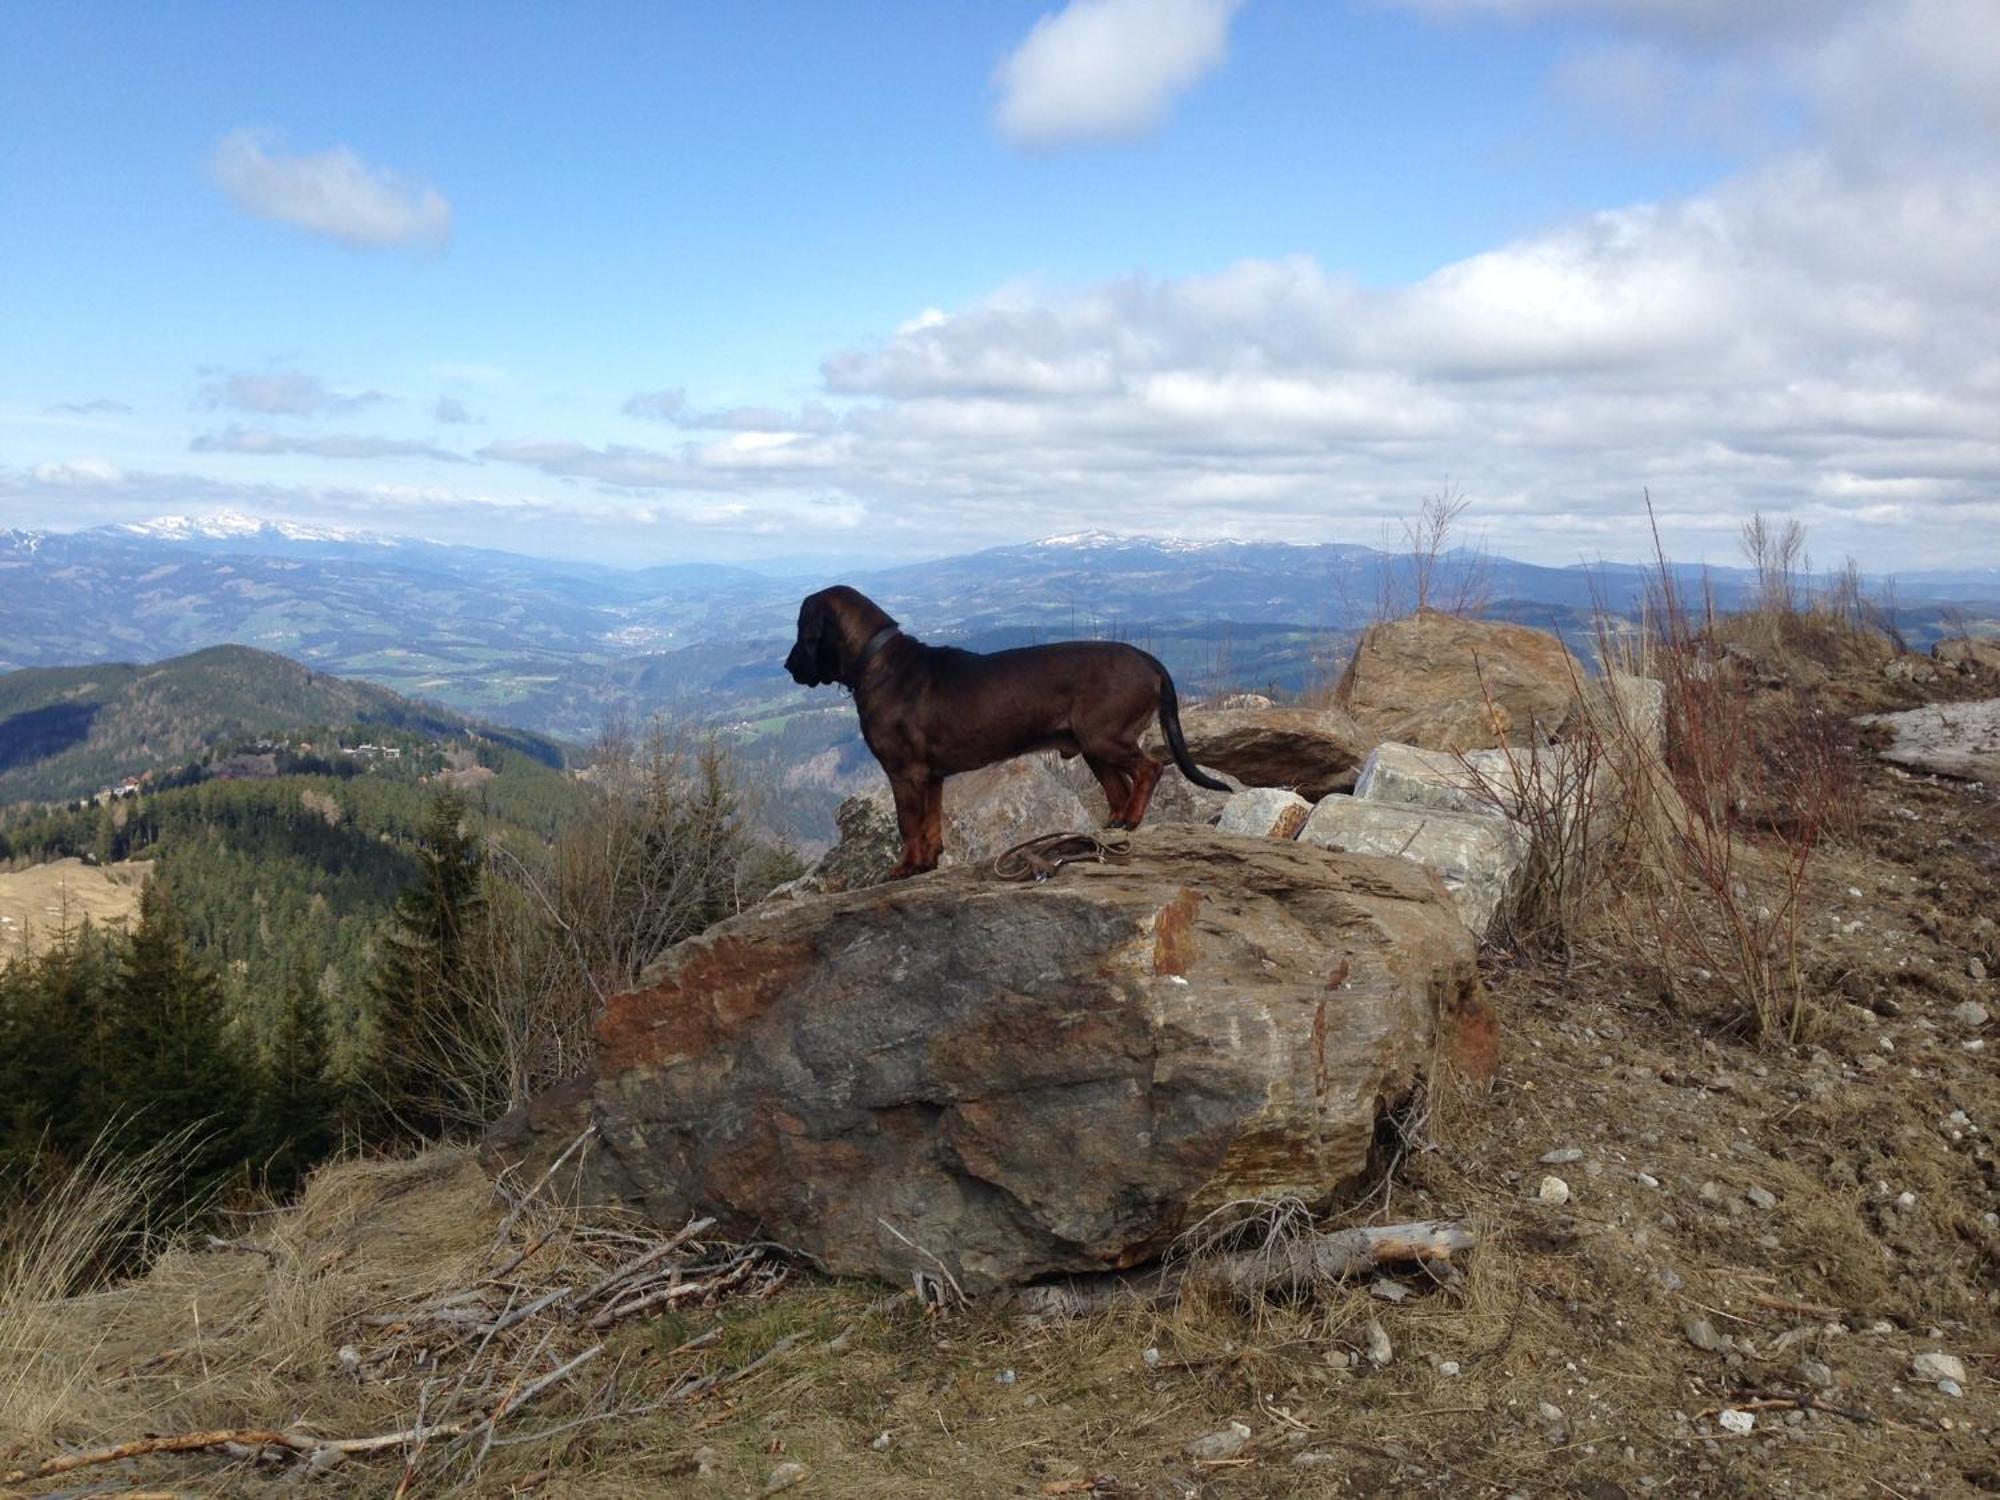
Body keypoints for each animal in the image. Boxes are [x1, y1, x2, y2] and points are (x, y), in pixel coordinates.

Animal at [784, 580, 1232, 876]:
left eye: (801, 629)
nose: (788, 666)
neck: (877, 661)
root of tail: (1151, 663)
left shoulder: (904, 773)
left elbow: (909, 825)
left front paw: (905, 868)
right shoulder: (931, 777)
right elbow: (931, 825)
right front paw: (927, 864)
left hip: (1104, 738)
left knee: (1150, 768)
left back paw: (1133, 819)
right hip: (1093, 746)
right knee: (1120, 787)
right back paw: (1114, 826)